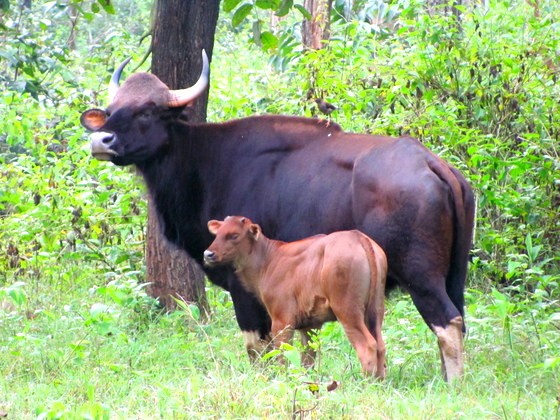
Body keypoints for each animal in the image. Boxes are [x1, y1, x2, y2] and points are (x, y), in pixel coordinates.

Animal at [203, 217, 388, 378]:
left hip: (348, 311)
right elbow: (308, 358)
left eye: (234, 235)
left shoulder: (281, 321)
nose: (208, 254)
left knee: (368, 345)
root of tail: (359, 238)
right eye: (217, 233)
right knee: (380, 344)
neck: (268, 261)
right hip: (376, 309)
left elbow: (283, 354)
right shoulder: (310, 325)